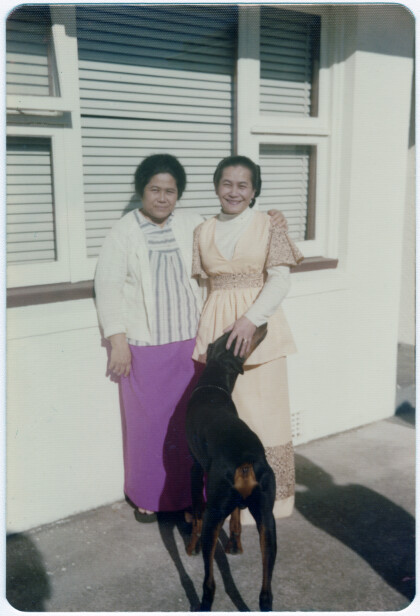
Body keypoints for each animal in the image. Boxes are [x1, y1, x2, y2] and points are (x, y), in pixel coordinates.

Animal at [185, 324, 277, 611]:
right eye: (230, 335)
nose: (263, 324)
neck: (213, 386)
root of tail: (246, 460)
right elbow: (236, 515)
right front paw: (235, 545)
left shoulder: (195, 468)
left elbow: (196, 513)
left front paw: (190, 547)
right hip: (268, 521)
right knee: (266, 591)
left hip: (215, 515)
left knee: (210, 583)